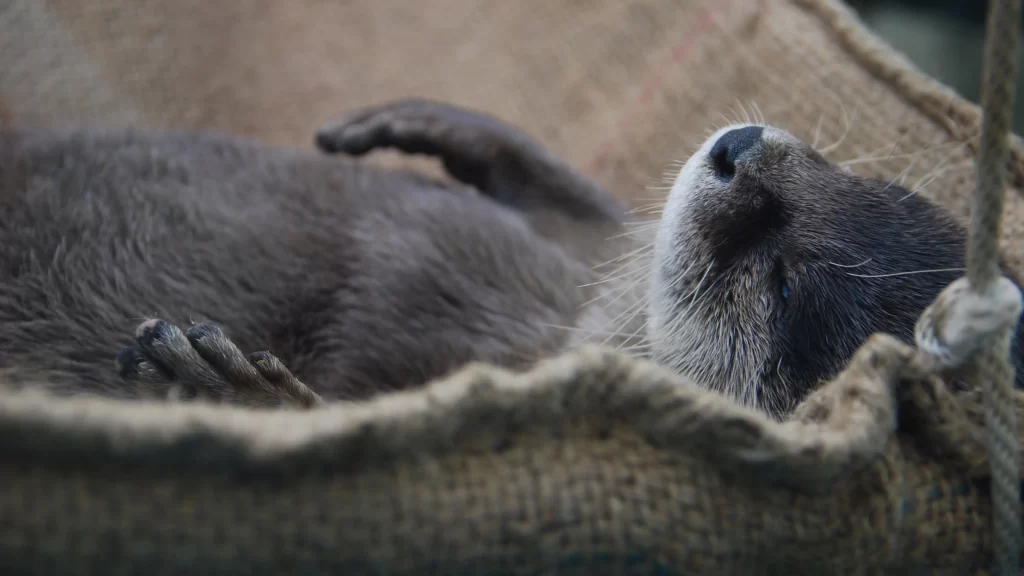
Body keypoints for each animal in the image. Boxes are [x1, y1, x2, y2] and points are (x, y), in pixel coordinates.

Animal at [0, 99, 1020, 417]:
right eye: (845, 171)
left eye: (780, 281)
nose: (739, 151)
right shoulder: (574, 267)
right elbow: (584, 212)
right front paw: (438, 127)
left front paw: (233, 390)